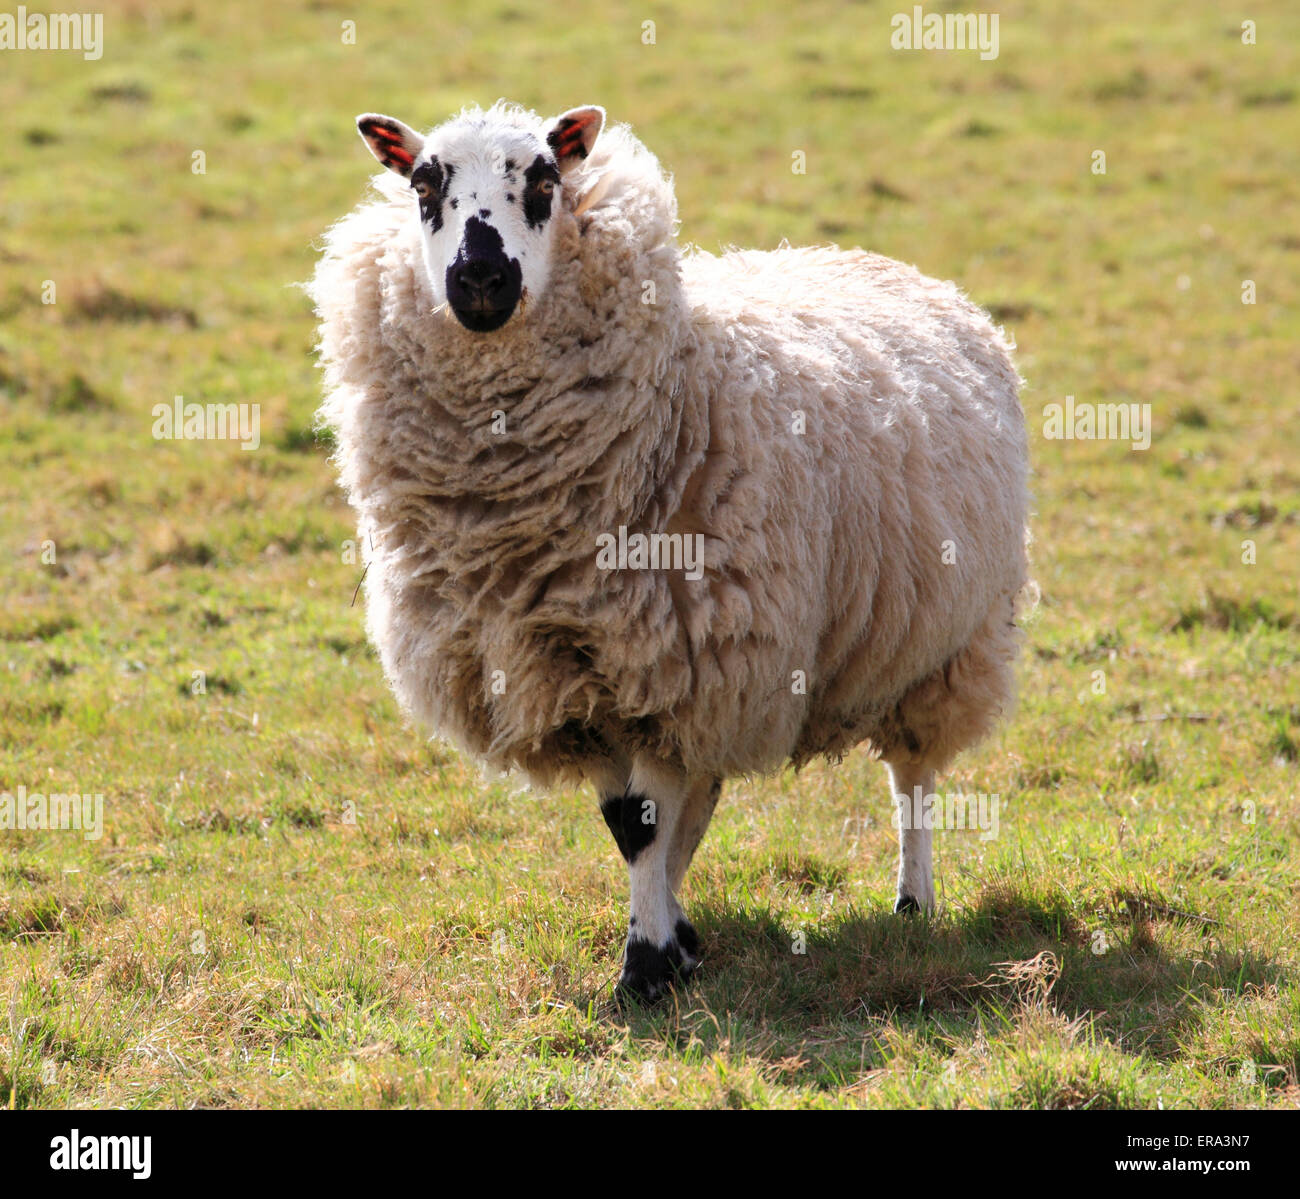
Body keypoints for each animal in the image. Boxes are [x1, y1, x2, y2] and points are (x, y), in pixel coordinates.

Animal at [311, 101, 1031, 1002]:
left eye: (544, 180)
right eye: (422, 184)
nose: (481, 280)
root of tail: (893, 267)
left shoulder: (667, 662)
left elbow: (645, 822)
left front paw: (646, 967)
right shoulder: (588, 672)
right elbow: (634, 820)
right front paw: (667, 946)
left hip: (944, 646)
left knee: (914, 782)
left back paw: (913, 901)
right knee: (708, 788)